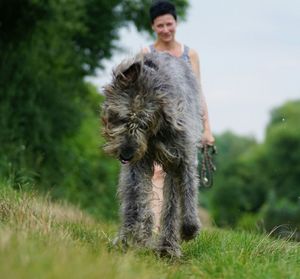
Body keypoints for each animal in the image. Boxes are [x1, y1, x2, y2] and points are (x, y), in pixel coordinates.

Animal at [102, 52, 203, 258]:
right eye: (123, 118)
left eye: (144, 124)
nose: (126, 154)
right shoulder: (139, 163)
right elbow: (136, 196)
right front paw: (131, 236)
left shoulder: (183, 153)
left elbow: (188, 188)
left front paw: (189, 227)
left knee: (172, 200)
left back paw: (168, 246)